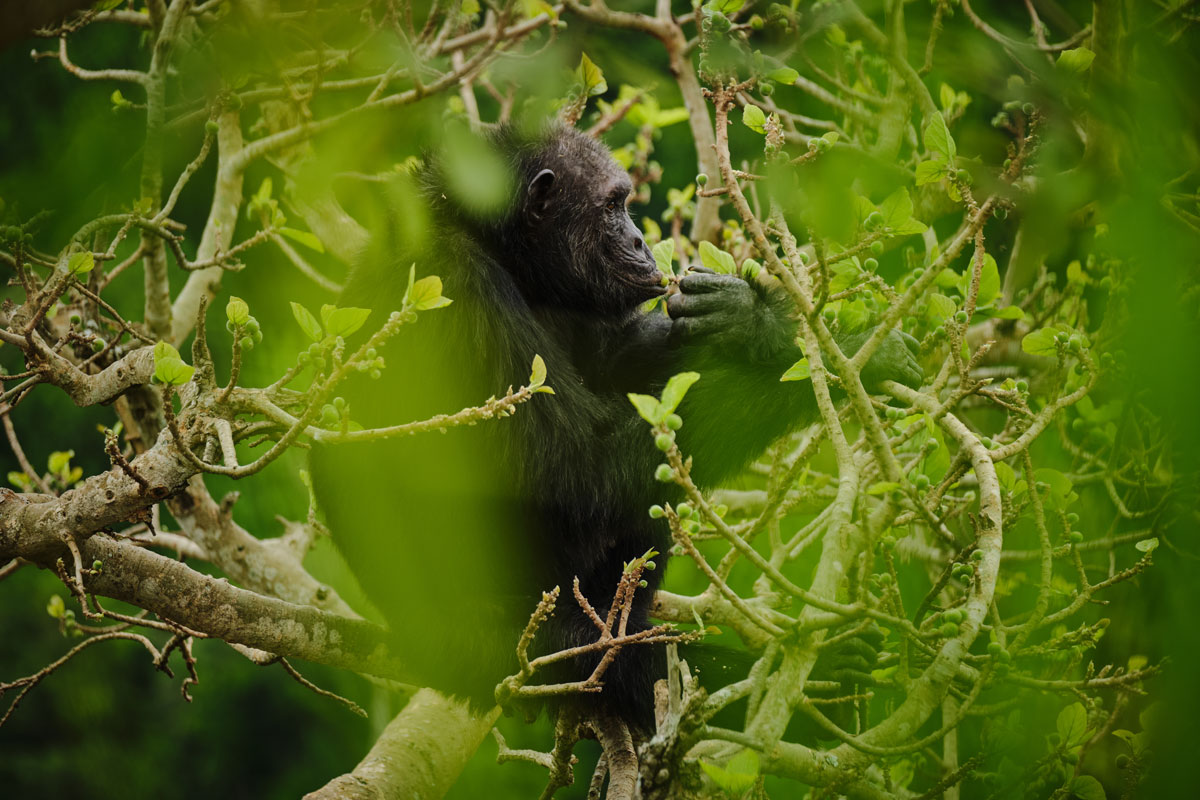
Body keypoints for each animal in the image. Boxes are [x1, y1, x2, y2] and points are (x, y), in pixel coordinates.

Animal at [309, 121, 923, 732]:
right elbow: (579, 474)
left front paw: (752, 318)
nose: (639, 240)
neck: (498, 248)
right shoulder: (459, 295)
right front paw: (845, 355)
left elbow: (616, 362)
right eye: (612, 206)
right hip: (508, 638)